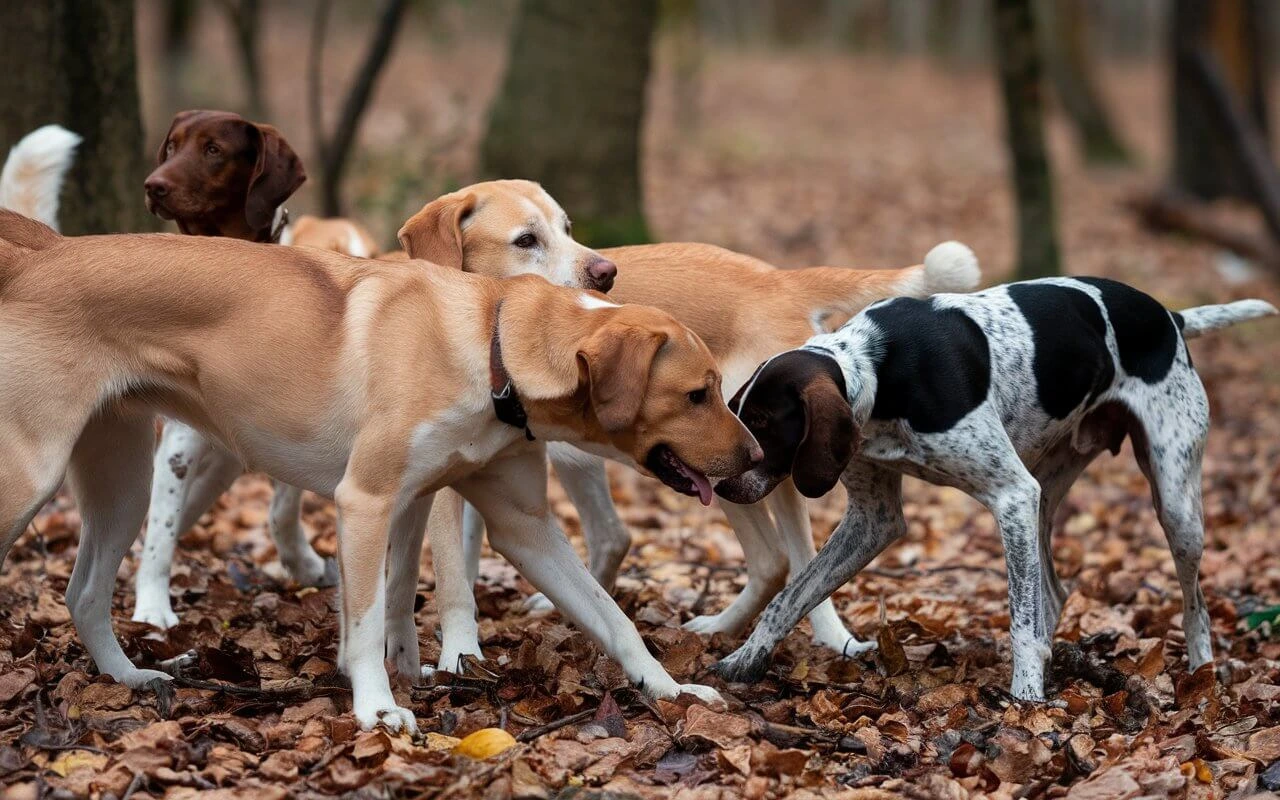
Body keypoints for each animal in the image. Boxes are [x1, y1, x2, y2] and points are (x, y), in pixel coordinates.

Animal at [0, 208, 752, 732]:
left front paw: (670, 690)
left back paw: (128, 678)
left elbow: (613, 619)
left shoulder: (524, 527)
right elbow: (363, 623)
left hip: (122, 485)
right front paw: (376, 708)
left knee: (83, 594)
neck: (490, 347)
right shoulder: (363, 502)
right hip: (31, 483)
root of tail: (45, 254)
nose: (757, 458)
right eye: (698, 394)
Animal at [716, 276, 1274, 696]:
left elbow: (1021, 624)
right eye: (737, 411)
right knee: (1054, 592)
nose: (719, 486)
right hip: (1045, 494)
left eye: (764, 421)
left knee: (1195, 606)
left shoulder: (1010, 495)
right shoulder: (874, 519)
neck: (881, 369)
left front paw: (1026, 702)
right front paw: (747, 656)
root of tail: (1169, 318)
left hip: (1173, 506)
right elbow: (792, 595)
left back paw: (1201, 676)